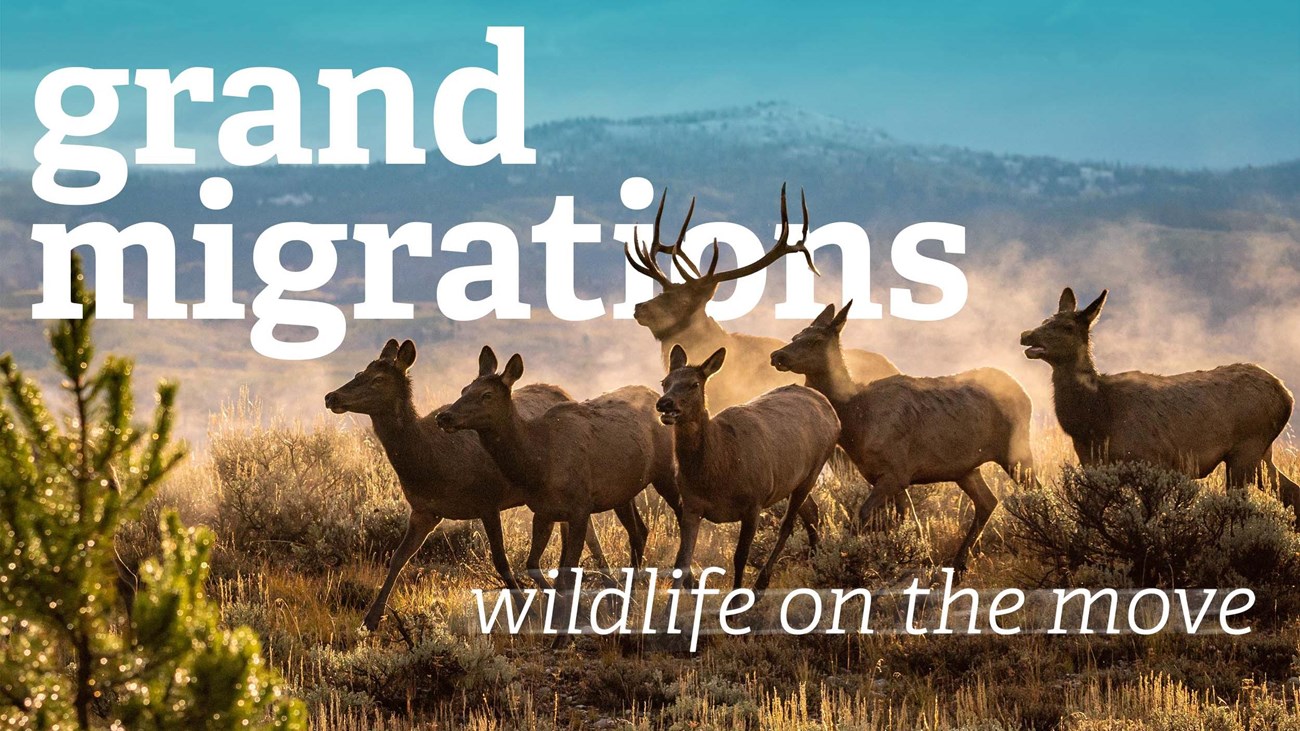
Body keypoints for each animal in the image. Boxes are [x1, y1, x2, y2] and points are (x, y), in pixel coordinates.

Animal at [332, 335, 616, 626]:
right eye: (358, 373)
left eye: (378, 379)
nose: (331, 396)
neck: (429, 466)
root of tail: (565, 392)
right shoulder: (425, 510)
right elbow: (398, 557)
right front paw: (370, 619)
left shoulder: (488, 501)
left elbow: (501, 560)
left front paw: (527, 612)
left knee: (590, 533)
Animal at [434, 348, 681, 598]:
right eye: (464, 389)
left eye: (487, 394)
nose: (444, 416)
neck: (538, 464)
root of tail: (654, 394)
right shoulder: (543, 510)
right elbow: (533, 564)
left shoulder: (581, 507)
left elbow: (568, 573)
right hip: (622, 492)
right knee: (639, 531)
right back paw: (627, 594)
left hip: (666, 472)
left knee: (681, 514)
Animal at [655, 343, 837, 587]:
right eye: (665, 382)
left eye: (694, 384)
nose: (664, 403)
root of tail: (828, 406)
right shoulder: (692, 504)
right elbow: (681, 561)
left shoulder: (754, 501)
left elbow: (740, 556)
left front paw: (738, 596)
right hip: (791, 480)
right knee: (811, 510)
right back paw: (817, 563)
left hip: (814, 468)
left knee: (788, 524)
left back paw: (762, 583)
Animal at [769, 301, 1034, 569]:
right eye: (795, 336)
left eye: (815, 340)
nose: (777, 355)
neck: (856, 418)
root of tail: (1023, 392)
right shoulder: (889, 475)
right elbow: (909, 521)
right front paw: (919, 559)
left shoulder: (896, 472)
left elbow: (861, 518)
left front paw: (847, 561)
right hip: (966, 468)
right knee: (987, 502)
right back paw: (959, 565)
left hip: (1015, 450)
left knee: (1033, 490)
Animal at [1019, 287, 1294, 509]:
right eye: (1045, 320)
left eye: (1067, 327)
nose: (1026, 334)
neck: (1096, 419)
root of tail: (1286, 395)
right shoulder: (1093, 464)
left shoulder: (1152, 461)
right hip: (1262, 454)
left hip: (1248, 447)